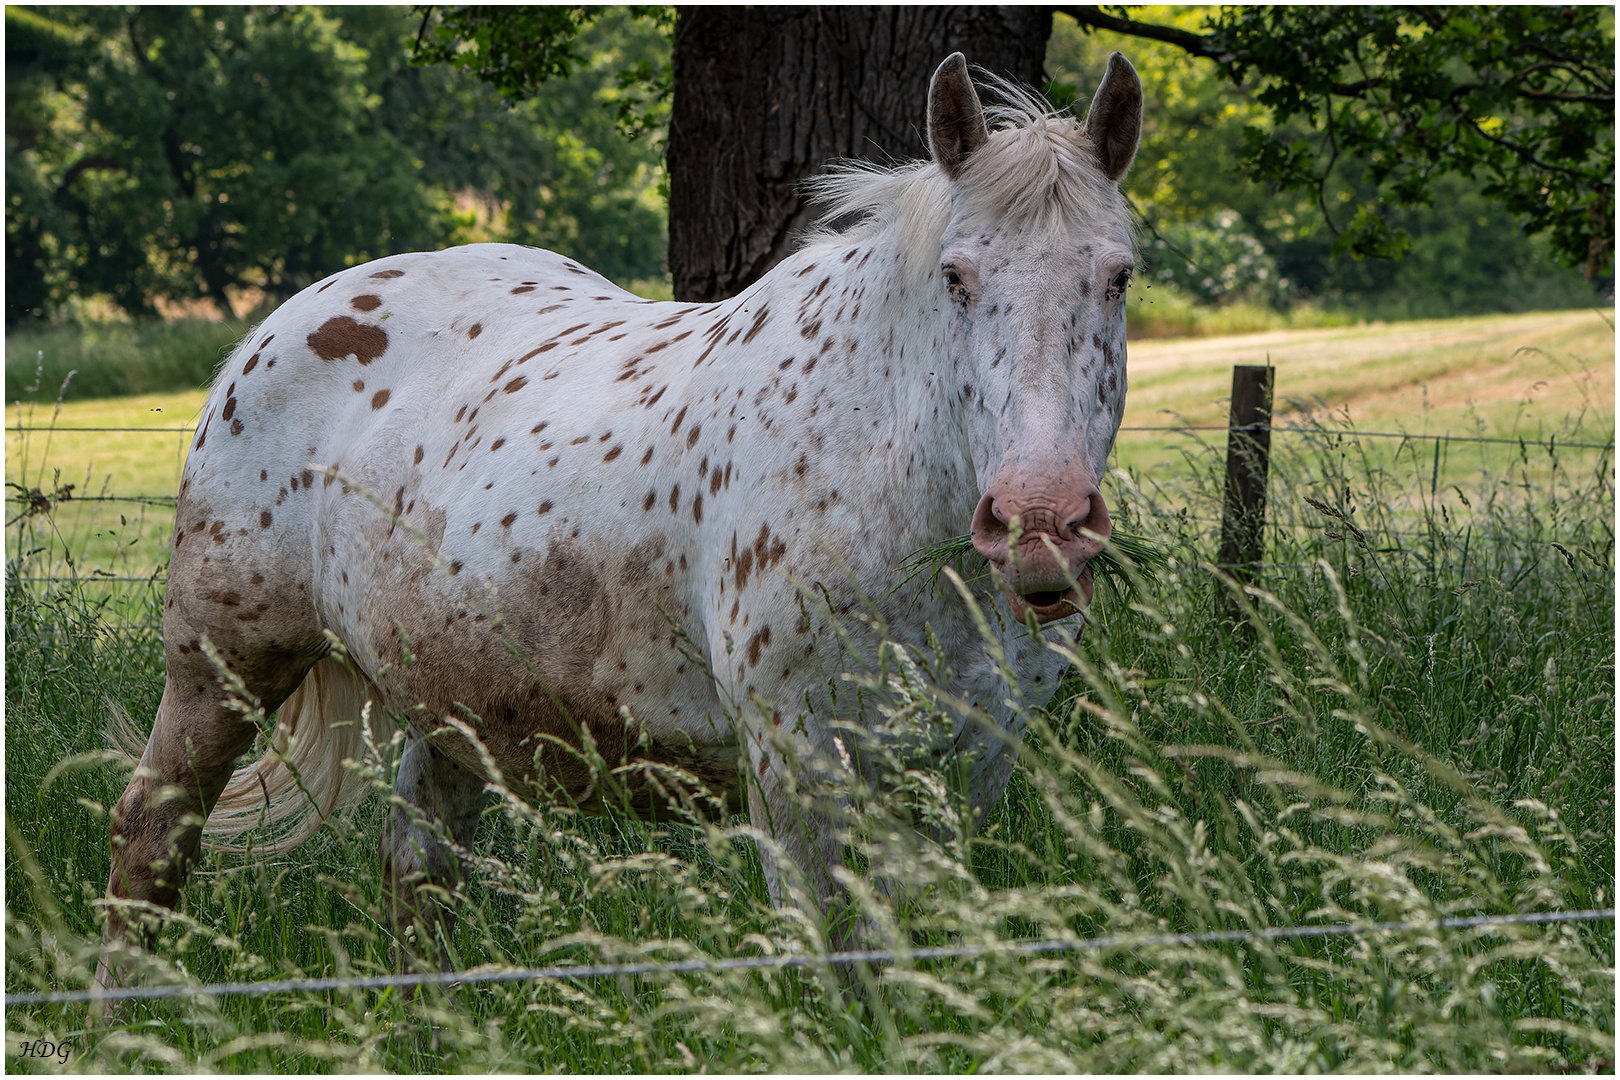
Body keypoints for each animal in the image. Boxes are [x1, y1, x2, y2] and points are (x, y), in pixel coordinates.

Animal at [94, 55, 1146, 990]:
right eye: (957, 278)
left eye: (1120, 277)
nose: (1039, 520)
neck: (882, 478)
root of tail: (280, 327)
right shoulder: (797, 770)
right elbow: (839, 975)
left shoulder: (970, 768)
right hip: (221, 665)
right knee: (150, 833)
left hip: (447, 707)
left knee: (418, 879)